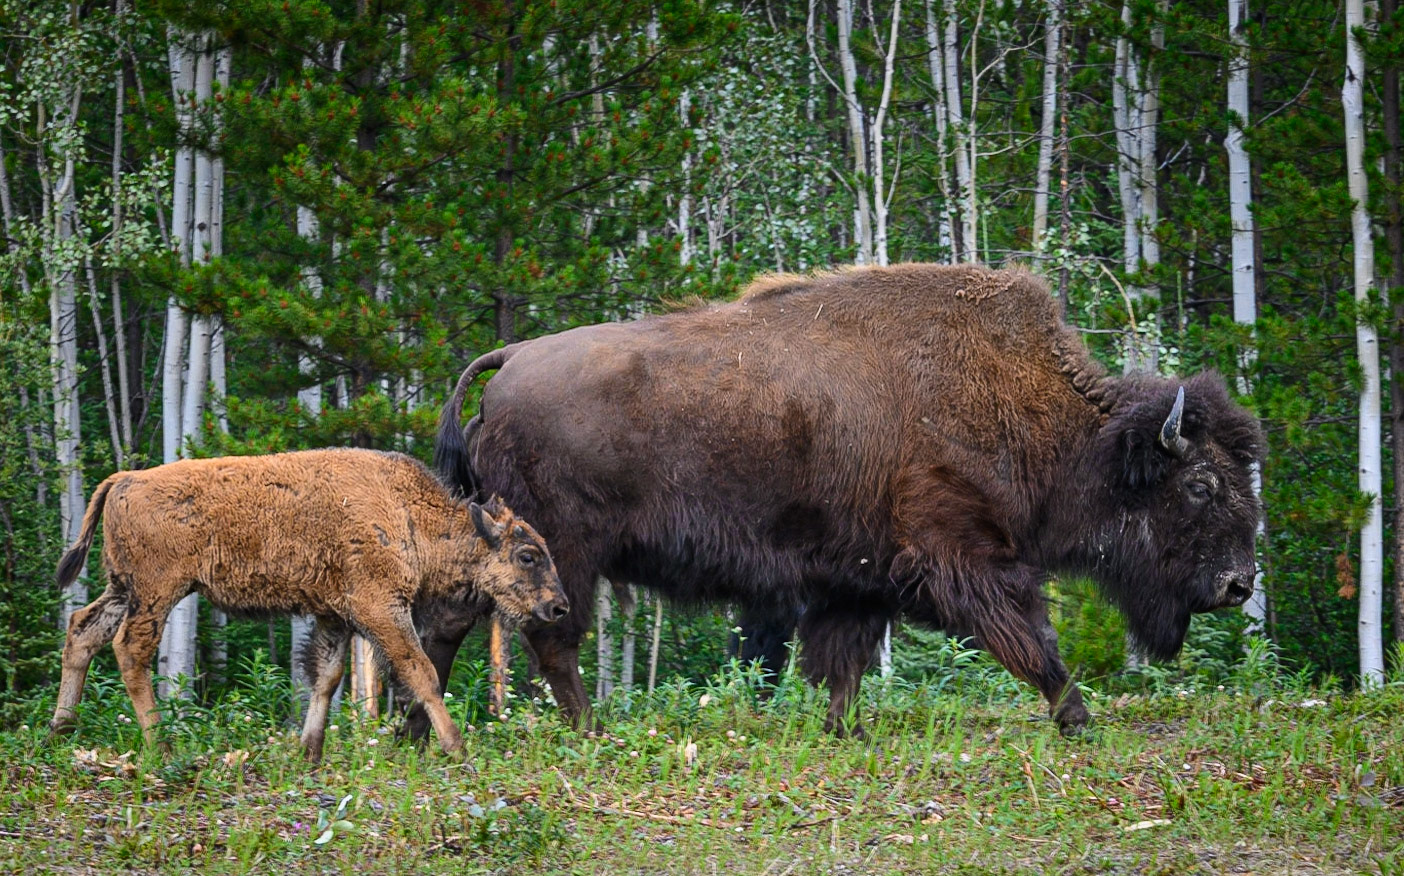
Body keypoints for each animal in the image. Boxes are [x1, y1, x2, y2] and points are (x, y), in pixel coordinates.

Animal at [425, 264, 1263, 736]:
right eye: (1201, 484)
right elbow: (1031, 638)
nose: (1238, 584)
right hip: (561, 557)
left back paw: (417, 731)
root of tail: (509, 361)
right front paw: (1078, 717)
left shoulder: (861, 579)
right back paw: (588, 729)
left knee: (447, 629)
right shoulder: (971, 558)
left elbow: (843, 660)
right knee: (553, 641)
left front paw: (842, 729)